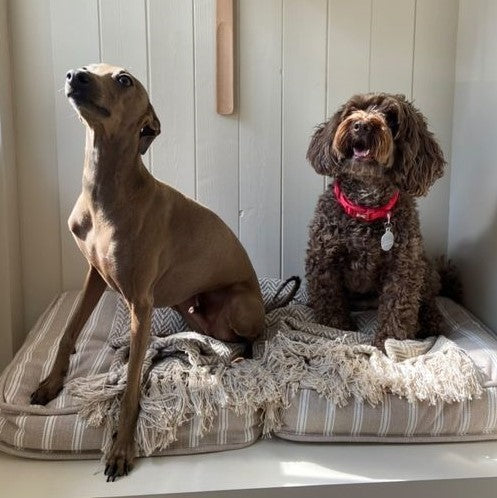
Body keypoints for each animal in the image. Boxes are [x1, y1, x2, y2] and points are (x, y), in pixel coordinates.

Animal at [306, 94, 446, 350]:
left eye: (391, 118)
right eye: (353, 109)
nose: (361, 125)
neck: (366, 206)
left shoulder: (402, 269)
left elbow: (397, 310)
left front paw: (388, 344)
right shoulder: (324, 261)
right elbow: (330, 303)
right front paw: (336, 327)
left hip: (423, 266)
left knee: (428, 300)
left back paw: (432, 321)